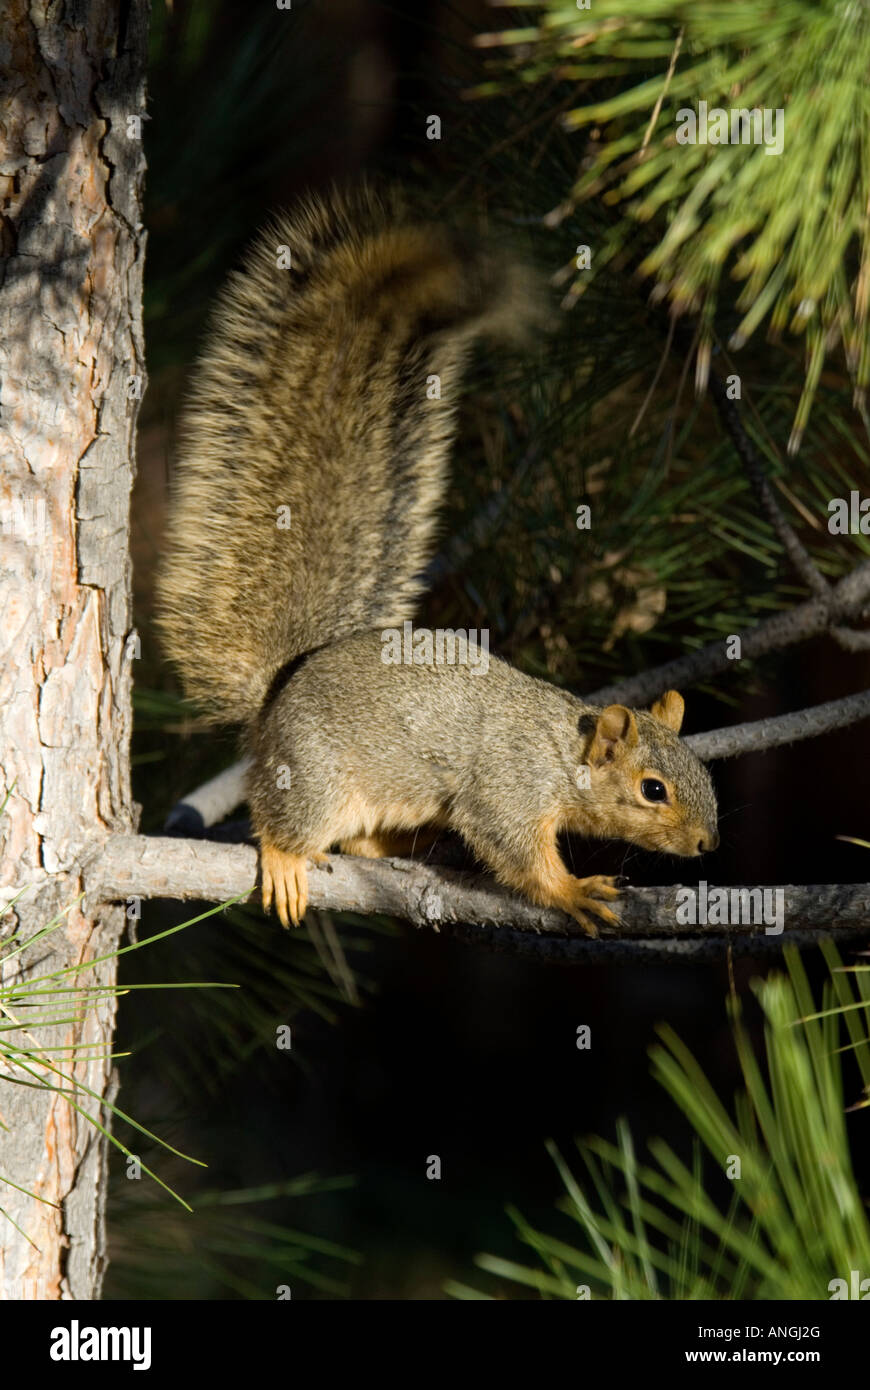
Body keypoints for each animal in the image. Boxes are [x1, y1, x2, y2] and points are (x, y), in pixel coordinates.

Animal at [157, 176, 717, 934]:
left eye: (702, 771)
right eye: (653, 789)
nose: (706, 843)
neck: (559, 751)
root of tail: (275, 697)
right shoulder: (508, 789)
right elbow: (516, 851)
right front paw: (571, 890)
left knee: (358, 836)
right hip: (315, 773)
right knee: (283, 821)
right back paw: (285, 857)